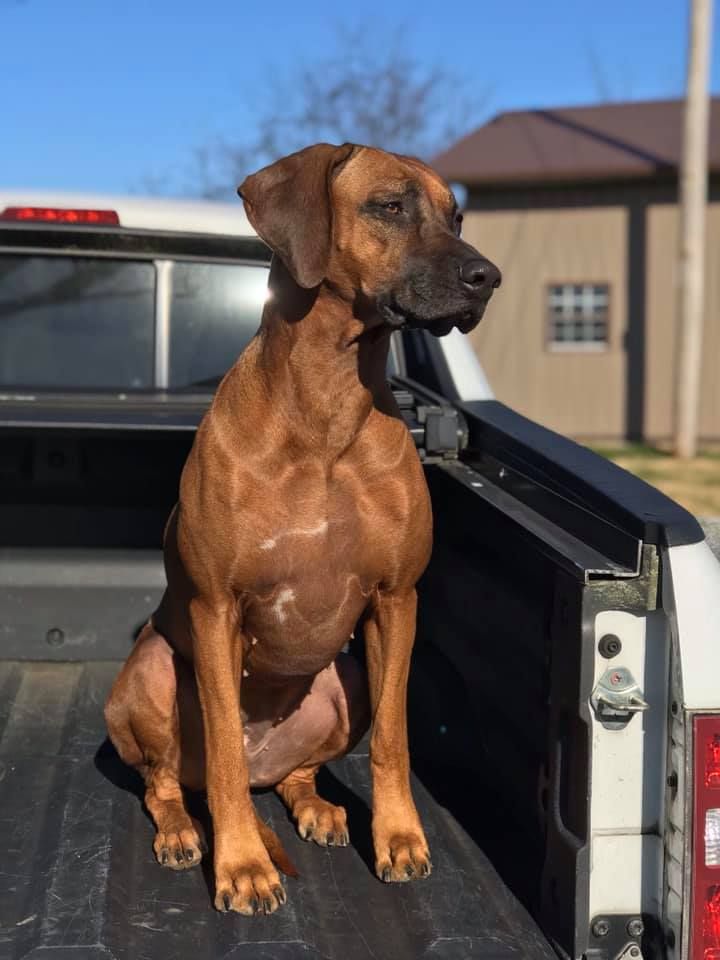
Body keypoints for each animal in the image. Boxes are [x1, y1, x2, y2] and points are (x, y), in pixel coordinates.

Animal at [105, 141, 500, 916]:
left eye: (457, 216)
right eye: (390, 205)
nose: (488, 279)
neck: (326, 402)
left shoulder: (396, 601)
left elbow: (395, 737)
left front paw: (399, 837)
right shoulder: (216, 608)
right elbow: (223, 751)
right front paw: (241, 864)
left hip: (343, 679)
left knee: (297, 774)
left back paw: (317, 807)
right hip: (149, 674)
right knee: (170, 779)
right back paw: (182, 830)